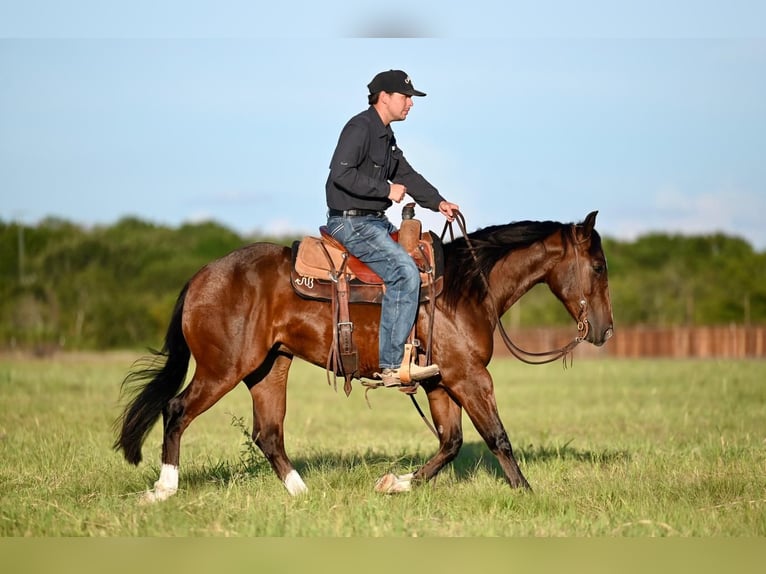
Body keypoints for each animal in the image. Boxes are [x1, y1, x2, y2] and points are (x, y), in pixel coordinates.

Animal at [114, 209, 616, 502]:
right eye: (597, 266)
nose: (606, 330)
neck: (465, 287)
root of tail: (201, 276)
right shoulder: (470, 377)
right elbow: (497, 437)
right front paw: (528, 492)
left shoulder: (440, 382)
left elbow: (450, 443)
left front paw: (396, 483)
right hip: (223, 369)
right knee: (177, 409)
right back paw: (164, 488)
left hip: (269, 368)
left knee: (268, 434)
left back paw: (303, 494)